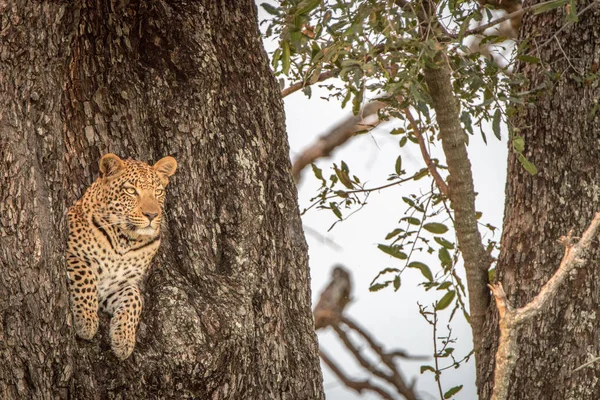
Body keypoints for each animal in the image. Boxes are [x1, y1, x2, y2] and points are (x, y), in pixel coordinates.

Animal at [67, 153, 177, 360]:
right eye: (131, 191)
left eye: (158, 192)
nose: (152, 215)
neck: (125, 241)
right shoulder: (71, 255)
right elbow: (86, 276)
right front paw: (86, 321)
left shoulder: (119, 285)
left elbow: (135, 299)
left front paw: (124, 340)